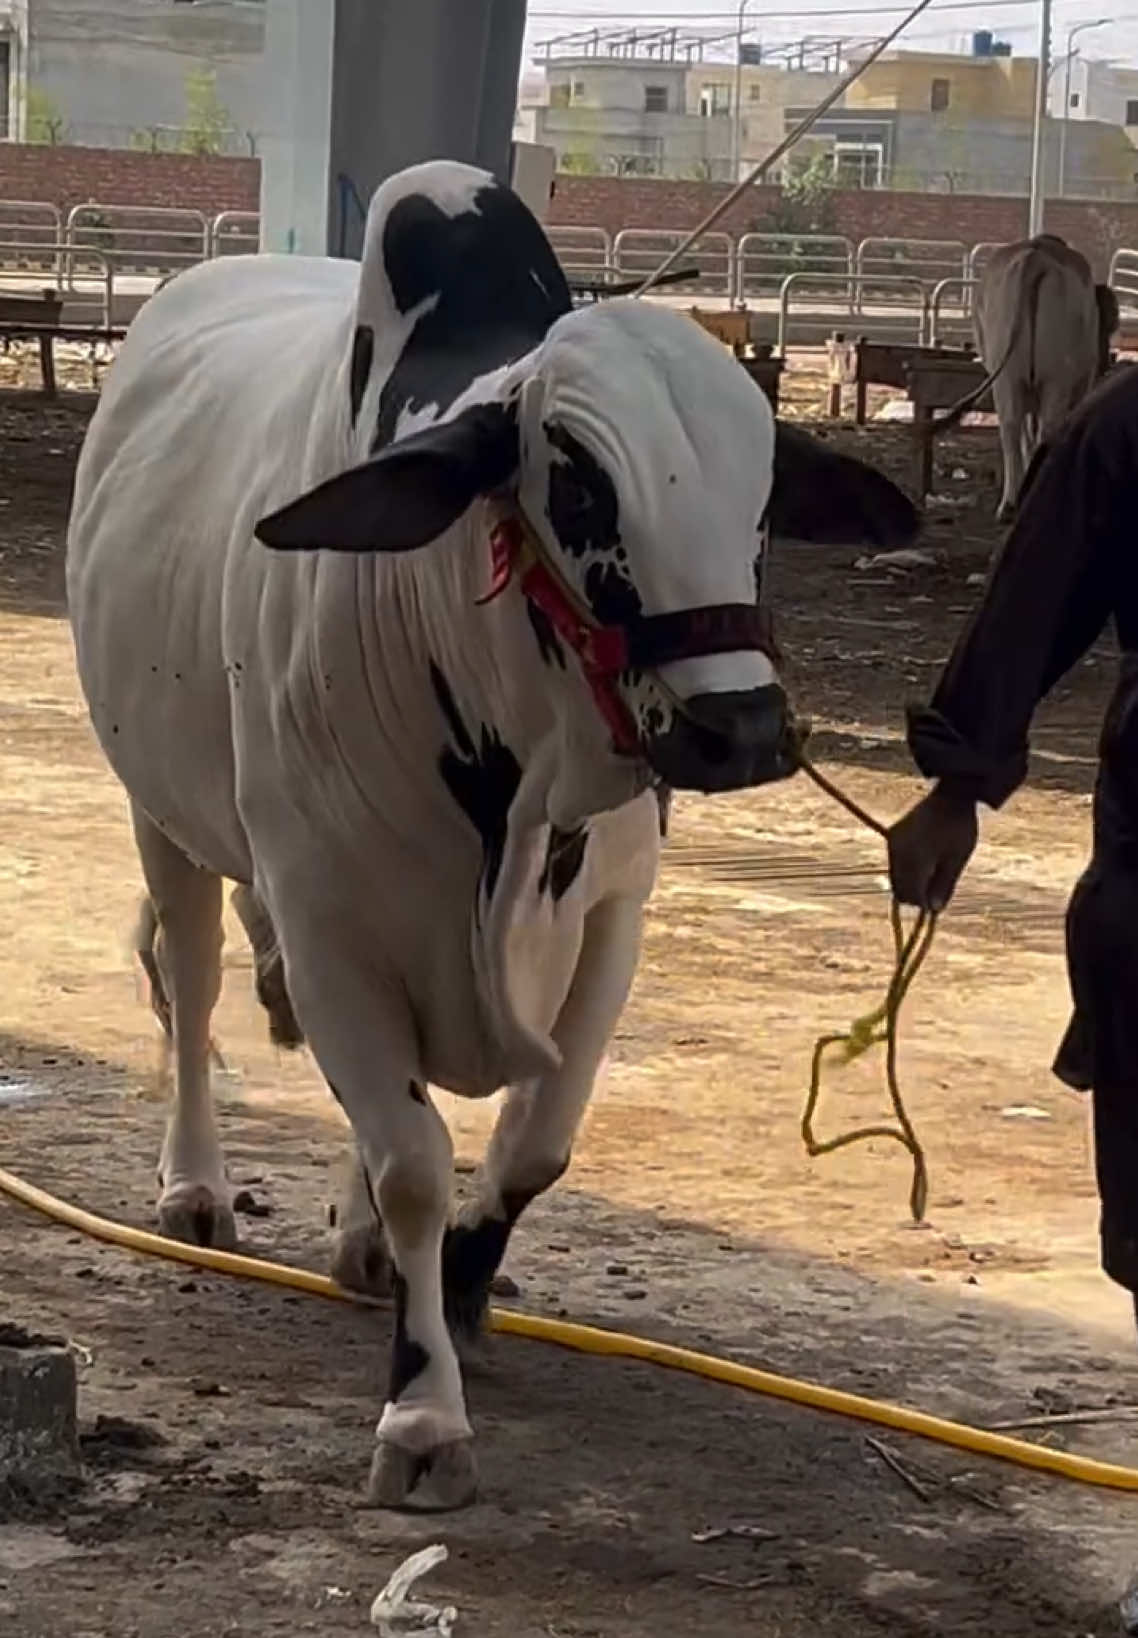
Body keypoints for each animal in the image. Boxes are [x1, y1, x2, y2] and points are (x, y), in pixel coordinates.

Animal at [66, 159, 917, 1510]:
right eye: (575, 478)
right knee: (192, 987)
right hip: (166, 813)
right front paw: (422, 1413)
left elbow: (532, 1145)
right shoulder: (325, 915)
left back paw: (359, 1243)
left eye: (762, 498)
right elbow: (414, 1157)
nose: (739, 727)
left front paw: (460, 1276)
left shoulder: (611, 913)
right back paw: (195, 1186)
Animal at [971, 234, 1119, 522]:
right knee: (1046, 429)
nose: (1107, 360)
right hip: (1056, 378)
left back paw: (1009, 503)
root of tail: (1035, 256)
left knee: (1011, 426)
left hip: (1006, 376)